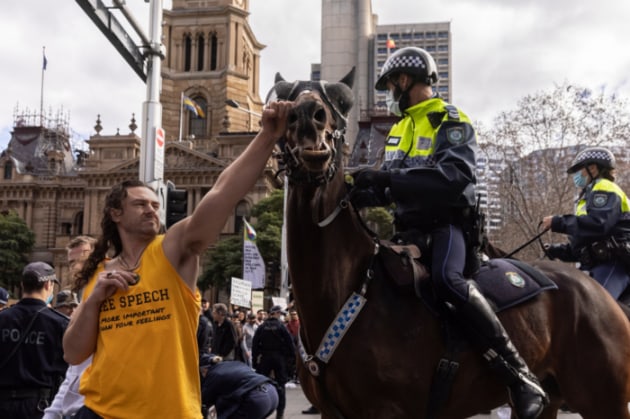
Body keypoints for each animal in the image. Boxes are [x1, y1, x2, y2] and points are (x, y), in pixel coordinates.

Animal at [274, 70, 630, 418]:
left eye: (341, 103)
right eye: (284, 98)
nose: (308, 117)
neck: (350, 287)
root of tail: (597, 291)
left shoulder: (387, 411)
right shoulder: (333, 412)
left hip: (605, 399)